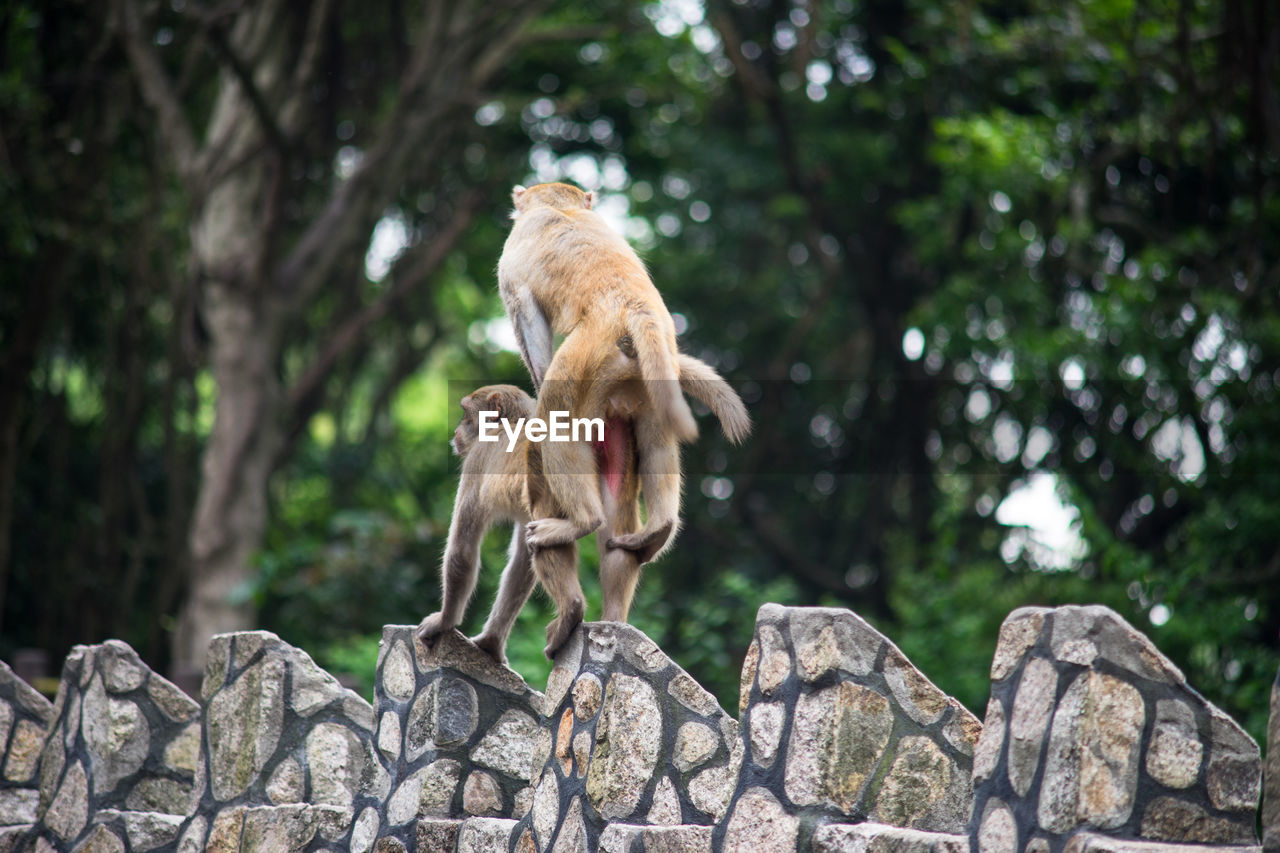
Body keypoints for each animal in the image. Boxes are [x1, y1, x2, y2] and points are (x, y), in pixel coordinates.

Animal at [414, 350, 747, 655]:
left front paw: (443, 622)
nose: (456, 432)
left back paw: (572, 605)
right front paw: (492, 643)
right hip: (616, 456)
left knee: (546, 532)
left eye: (465, 414)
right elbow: (520, 561)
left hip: (554, 474)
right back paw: (614, 618)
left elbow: (464, 549)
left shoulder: (477, 460)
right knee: (616, 535)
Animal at [499, 180, 701, 558]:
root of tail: (634, 307)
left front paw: (538, 376)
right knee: (656, 438)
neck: (558, 206)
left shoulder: (511, 265)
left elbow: (526, 315)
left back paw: (582, 522)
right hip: (652, 370)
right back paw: (659, 529)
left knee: (557, 418)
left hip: (585, 355)